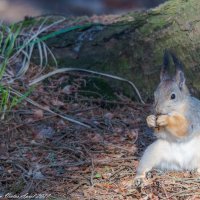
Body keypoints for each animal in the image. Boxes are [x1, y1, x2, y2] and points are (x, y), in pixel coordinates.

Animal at [134, 50, 200, 186]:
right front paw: (150, 119)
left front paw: (166, 120)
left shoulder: (192, 117)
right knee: (144, 166)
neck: (176, 110)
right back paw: (140, 178)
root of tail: (183, 165)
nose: (158, 110)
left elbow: (183, 129)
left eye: (173, 96)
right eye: (154, 95)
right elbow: (160, 132)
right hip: (152, 153)